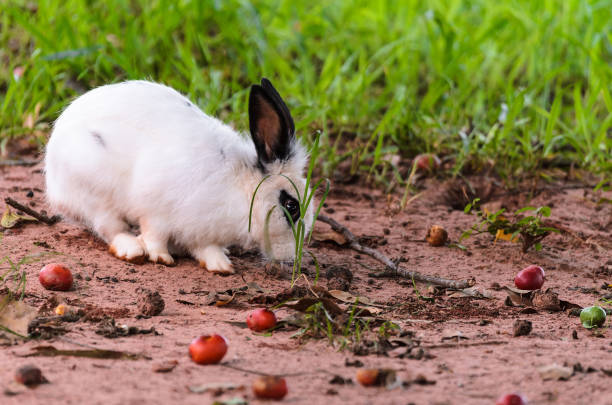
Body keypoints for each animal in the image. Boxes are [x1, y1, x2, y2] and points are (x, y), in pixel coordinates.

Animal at [44, 78, 310, 274]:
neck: (239, 188)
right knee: (110, 228)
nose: (291, 259)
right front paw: (161, 257)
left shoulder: (201, 230)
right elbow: (154, 235)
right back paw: (132, 249)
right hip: (95, 193)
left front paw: (221, 266)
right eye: (291, 206)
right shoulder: (157, 211)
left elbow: (205, 248)